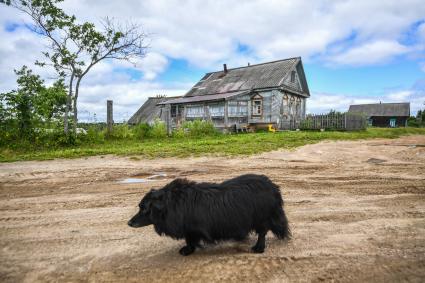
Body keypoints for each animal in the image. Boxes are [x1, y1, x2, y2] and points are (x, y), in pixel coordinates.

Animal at [127, 174, 290, 256]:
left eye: (143, 208)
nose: (129, 223)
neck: (171, 203)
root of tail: (273, 187)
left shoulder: (190, 229)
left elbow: (190, 240)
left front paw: (187, 250)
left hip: (262, 218)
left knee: (262, 233)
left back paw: (258, 248)